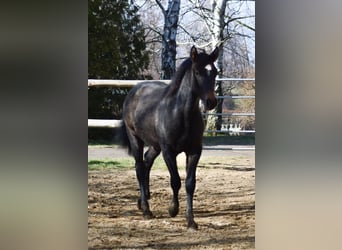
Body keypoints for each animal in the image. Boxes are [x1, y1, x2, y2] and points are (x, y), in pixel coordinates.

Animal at [121, 46, 218, 229]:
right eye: (197, 71)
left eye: (215, 72)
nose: (211, 102)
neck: (180, 112)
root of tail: (134, 91)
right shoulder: (168, 151)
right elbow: (175, 181)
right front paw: (173, 209)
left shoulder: (194, 151)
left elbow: (190, 183)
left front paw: (191, 221)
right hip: (135, 138)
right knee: (139, 167)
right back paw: (146, 209)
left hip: (155, 145)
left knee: (147, 162)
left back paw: (142, 201)